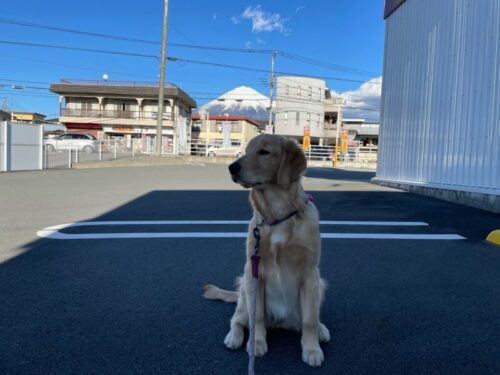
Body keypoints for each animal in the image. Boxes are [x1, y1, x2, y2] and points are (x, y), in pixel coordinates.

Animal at [202, 134, 328, 368]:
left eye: (264, 152)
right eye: (246, 151)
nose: (232, 167)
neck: (279, 215)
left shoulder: (310, 273)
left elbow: (309, 320)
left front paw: (312, 349)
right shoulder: (255, 273)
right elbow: (257, 317)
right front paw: (256, 343)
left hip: (320, 285)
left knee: (311, 317)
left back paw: (322, 329)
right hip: (244, 287)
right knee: (237, 320)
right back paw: (234, 337)